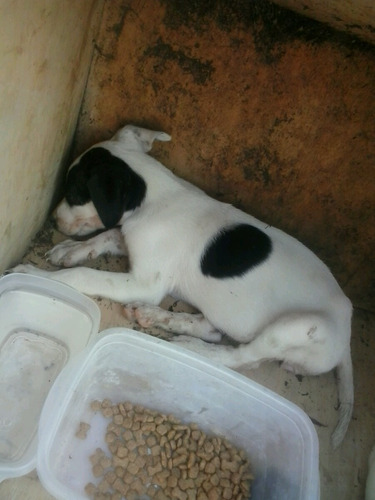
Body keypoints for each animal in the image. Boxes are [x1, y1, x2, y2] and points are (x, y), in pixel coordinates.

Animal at [13, 124, 354, 450]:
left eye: (73, 192)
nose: (53, 220)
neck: (156, 197)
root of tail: (347, 330)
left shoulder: (145, 282)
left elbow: (84, 275)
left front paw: (34, 273)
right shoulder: (130, 244)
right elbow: (106, 236)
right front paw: (69, 250)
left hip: (296, 327)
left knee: (242, 356)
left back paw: (192, 347)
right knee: (211, 329)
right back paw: (155, 316)